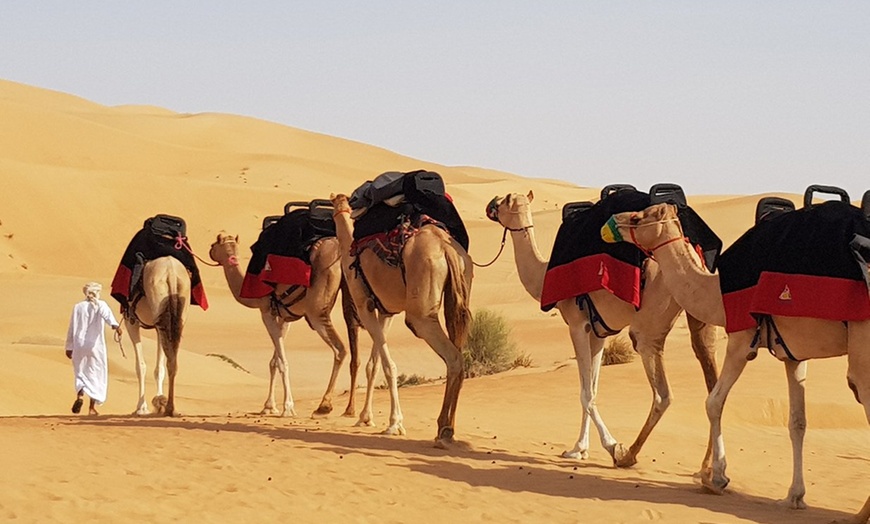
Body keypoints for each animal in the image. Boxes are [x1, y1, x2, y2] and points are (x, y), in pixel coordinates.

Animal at [123, 256, 188, 416]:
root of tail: (171, 270)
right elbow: (159, 367)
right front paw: (157, 400)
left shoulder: (131, 322)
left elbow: (140, 366)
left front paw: (141, 407)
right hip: (177, 313)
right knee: (172, 359)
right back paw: (169, 407)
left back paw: (166, 406)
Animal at [209, 233, 360, 418]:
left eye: (214, 244)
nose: (210, 251)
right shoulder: (284, 317)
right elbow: (274, 361)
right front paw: (269, 406)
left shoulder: (266, 312)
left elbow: (282, 361)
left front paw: (287, 407)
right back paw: (351, 410)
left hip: (316, 312)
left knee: (340, 349)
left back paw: (324, 405)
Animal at [330, 193, 474, 446]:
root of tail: (445, 248)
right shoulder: (386, 311)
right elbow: (374, 364)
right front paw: (365, 418)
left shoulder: (364, 305)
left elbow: (389, 365)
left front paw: (394, 423)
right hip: (459, 293)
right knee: (458, 352)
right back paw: (449, 427)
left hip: (421, 313)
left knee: (453, 358)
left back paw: (443, 429)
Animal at [490, 191, 724, 466]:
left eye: (503, 202)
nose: (491, 204)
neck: (543, 275)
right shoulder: (598, 332)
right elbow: (592, 388)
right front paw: (578, 449)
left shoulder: (577, 324)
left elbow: (585, 394)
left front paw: (611, 445)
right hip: (700, 314)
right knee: (711, 377)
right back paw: (707, 469)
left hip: (649, 326)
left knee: (663, 393)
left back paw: (628, 455)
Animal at [608, 202, 870, 520]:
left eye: (637, 218)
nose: (611, 222)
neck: (716, 295)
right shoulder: (794, 354)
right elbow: (797, 422)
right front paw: (794, 496)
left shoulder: (741, 338)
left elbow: (713, 402)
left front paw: (716, 478)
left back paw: (859, 514)